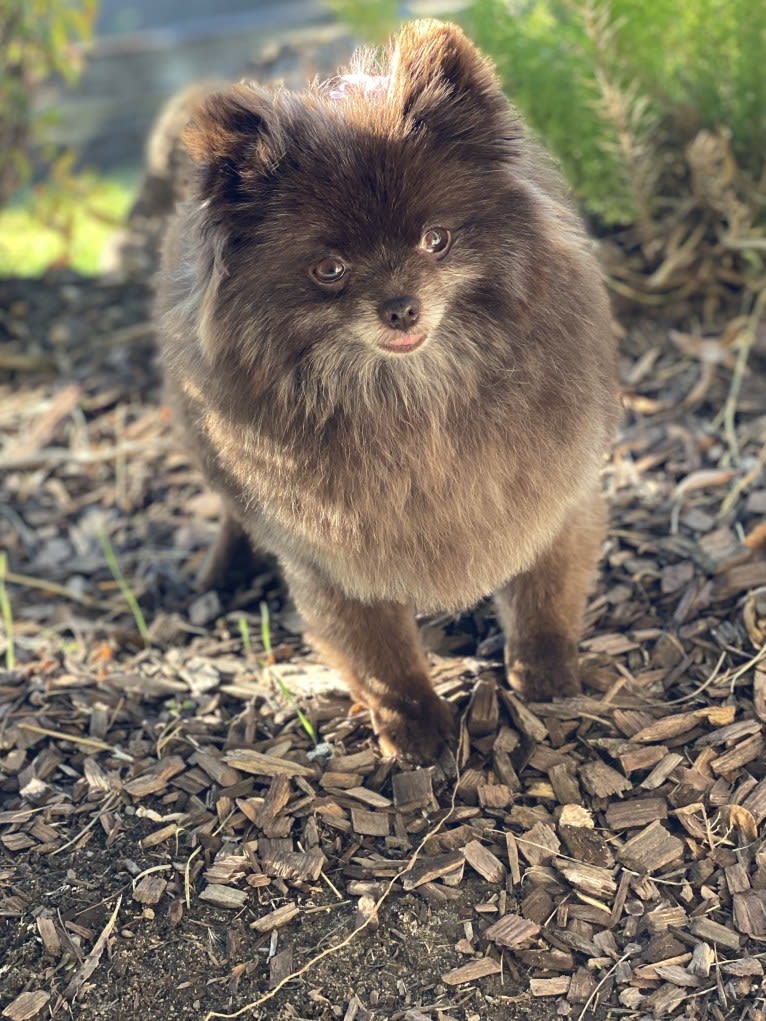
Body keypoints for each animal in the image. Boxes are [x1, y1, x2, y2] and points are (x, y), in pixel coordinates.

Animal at [156, 19, 616, 763]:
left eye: (437, 240)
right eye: (330, 270)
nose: (401, 307)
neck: (414, 402)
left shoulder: (555, 501)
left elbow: (544, 599)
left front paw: (547, 676)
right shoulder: (331, 561)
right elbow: (381, 658)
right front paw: (415, 726)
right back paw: (224, 568)